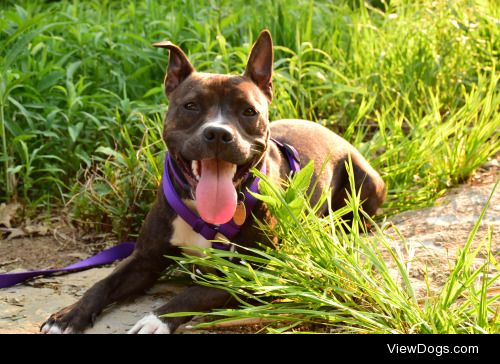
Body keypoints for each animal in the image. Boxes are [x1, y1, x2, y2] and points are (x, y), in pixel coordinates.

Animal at [42, 29, 386, 334]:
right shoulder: (144, 259)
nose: (219, 133)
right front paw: (69, 315)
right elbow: (102, 283)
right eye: (190, 105)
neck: (203, 213)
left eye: (248, 111)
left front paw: (156, 320)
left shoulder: (254, 276)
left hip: (367, 181)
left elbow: (194, 293)